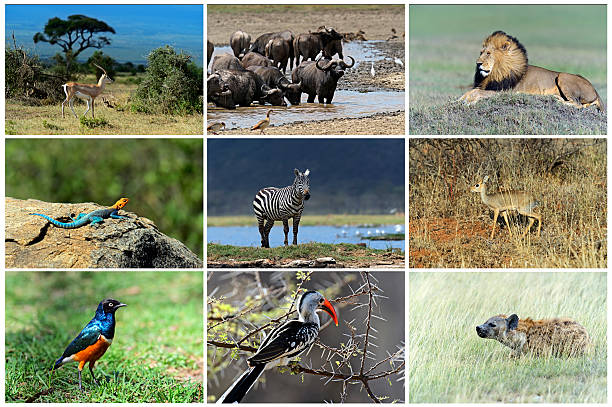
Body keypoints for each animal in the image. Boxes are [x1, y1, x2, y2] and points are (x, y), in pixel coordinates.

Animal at [456, 30, 604, 111]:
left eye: (488, 53)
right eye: (481, 53)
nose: (478, 63)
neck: (496, 72)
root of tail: (595, 90)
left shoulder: (503, 91)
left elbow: (478, 93)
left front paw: (469, 103)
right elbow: (471, 91)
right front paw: (458, 101)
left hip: (563, 76)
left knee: (577, 104)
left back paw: (558, 99)